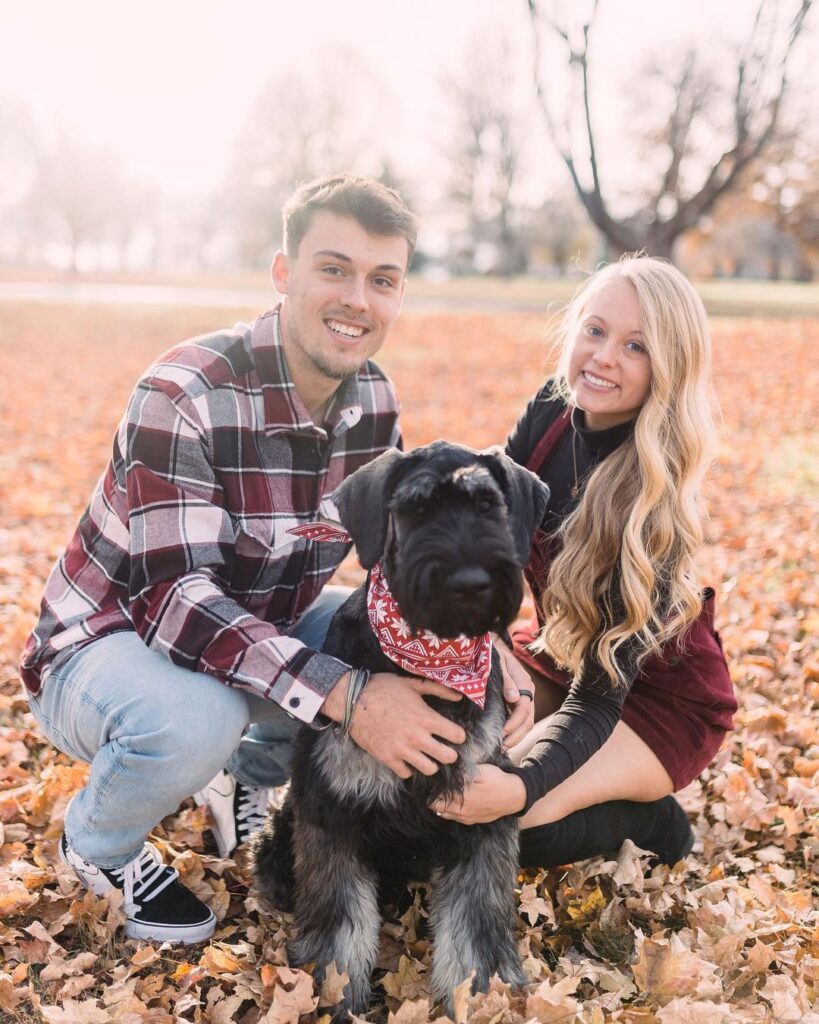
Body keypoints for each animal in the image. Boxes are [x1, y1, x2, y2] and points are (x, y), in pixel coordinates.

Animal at [253, 442, 548, 1015]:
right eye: (414, 509)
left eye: (488, 505)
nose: (470, 583)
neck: (431, 662)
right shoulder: (333, 808)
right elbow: (341, 926)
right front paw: (333, 995)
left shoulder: (483, 812)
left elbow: (475, 923)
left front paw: (479, 995)